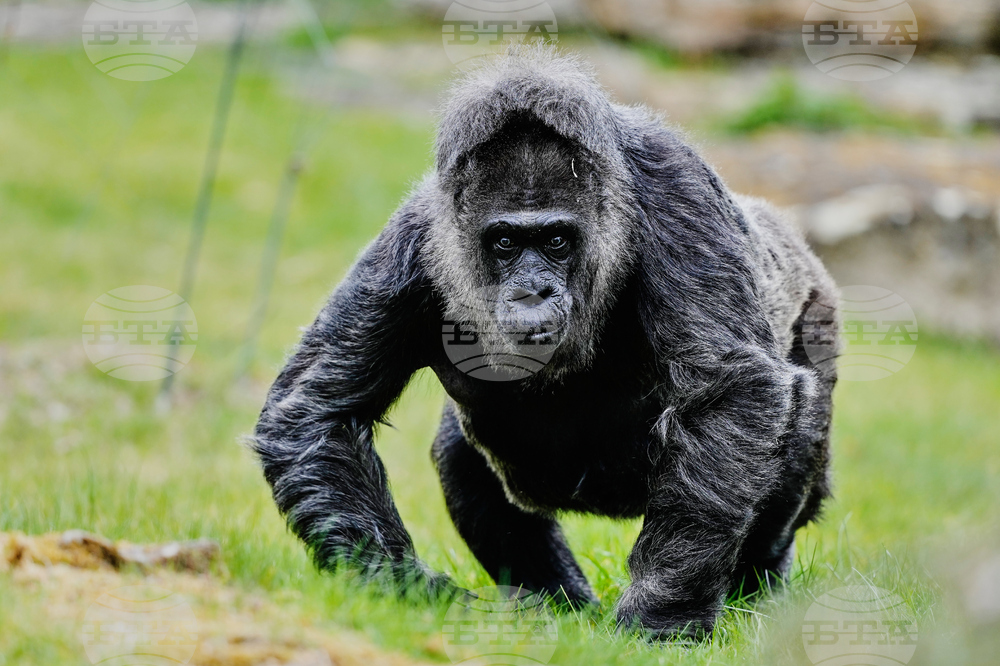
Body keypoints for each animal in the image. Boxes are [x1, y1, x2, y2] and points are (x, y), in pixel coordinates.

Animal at [252, 46, 839, 639]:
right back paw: (556, 604)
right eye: (505, 243)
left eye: (556, 240)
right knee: (459, 460)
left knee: (794, 426)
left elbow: (729, 390)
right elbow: (316, 412)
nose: (533, 292)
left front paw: (662, 615)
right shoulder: (413, 245)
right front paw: (407, 589)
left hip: (817, 309)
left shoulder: (677, 191)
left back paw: (756, 591)